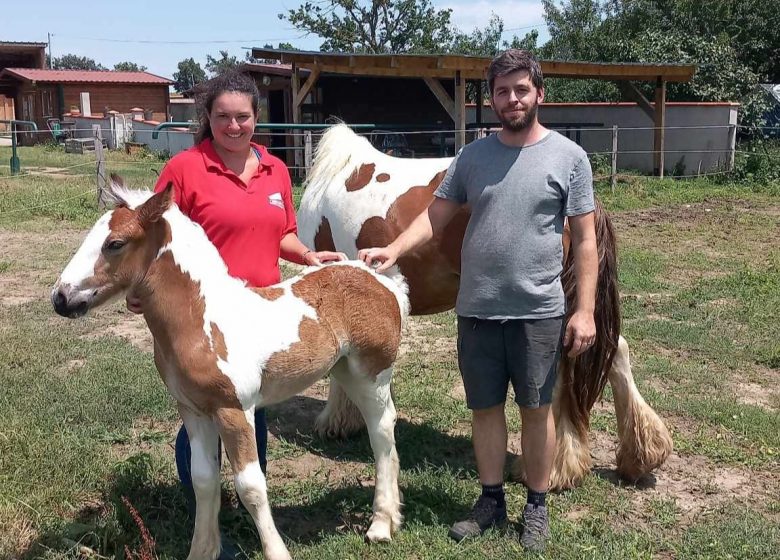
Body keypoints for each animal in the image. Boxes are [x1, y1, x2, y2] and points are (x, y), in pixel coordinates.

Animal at [51, 179, 412, 560]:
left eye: (115, 243)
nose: (60, 298)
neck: (203, 319)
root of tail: (382, 279)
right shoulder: (193, 410)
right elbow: (203, 480)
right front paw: (202, 551)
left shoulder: (234, 411)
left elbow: (250, 486)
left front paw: (277, 553)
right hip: (345, 372)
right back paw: (392, 516)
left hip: (371, 375)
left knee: (381, 433)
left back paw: (380, 525)